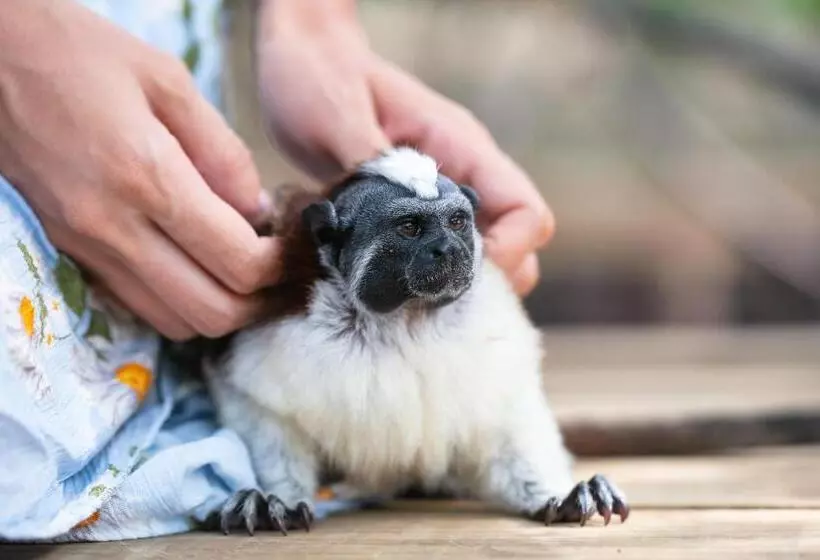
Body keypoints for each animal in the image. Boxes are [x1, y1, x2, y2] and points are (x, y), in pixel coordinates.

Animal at [200, 147, 630, 536]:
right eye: (409, 227)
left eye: (456, 222)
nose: (449, 249)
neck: (403, 320)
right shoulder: (273, 345)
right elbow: (261, 414)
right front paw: (276, 499)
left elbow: (507, 427)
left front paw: (556, 495)